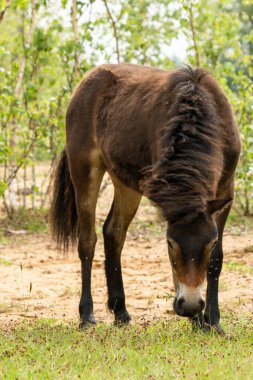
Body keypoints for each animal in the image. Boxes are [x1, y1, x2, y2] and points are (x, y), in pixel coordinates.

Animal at [50, 63, 240, 334]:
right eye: (170, 244)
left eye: (210, 243)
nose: (190, 305)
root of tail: (89, 78)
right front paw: (199, 320)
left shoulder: (225, 192)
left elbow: (216, 260)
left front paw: (211, 322)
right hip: (85, 169)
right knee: (87, 241)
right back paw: (87, 315)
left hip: (126, 182)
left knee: (113, 232)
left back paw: (120, 311)